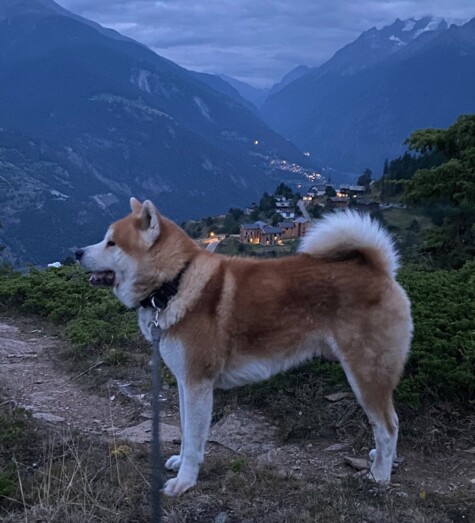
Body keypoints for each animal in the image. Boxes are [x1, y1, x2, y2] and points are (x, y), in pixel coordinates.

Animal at [77, 199, 412, 498]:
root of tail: (378, 268)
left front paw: (184, 482)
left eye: (111, 243)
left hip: (366, 373)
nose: (77, 252)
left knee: (388, 426)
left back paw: (380, 476)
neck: (175, 283)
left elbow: (194, 441)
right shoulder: (186, 383)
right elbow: (185, 432)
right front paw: (179, 463)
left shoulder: (198, 384)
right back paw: (379, 460)